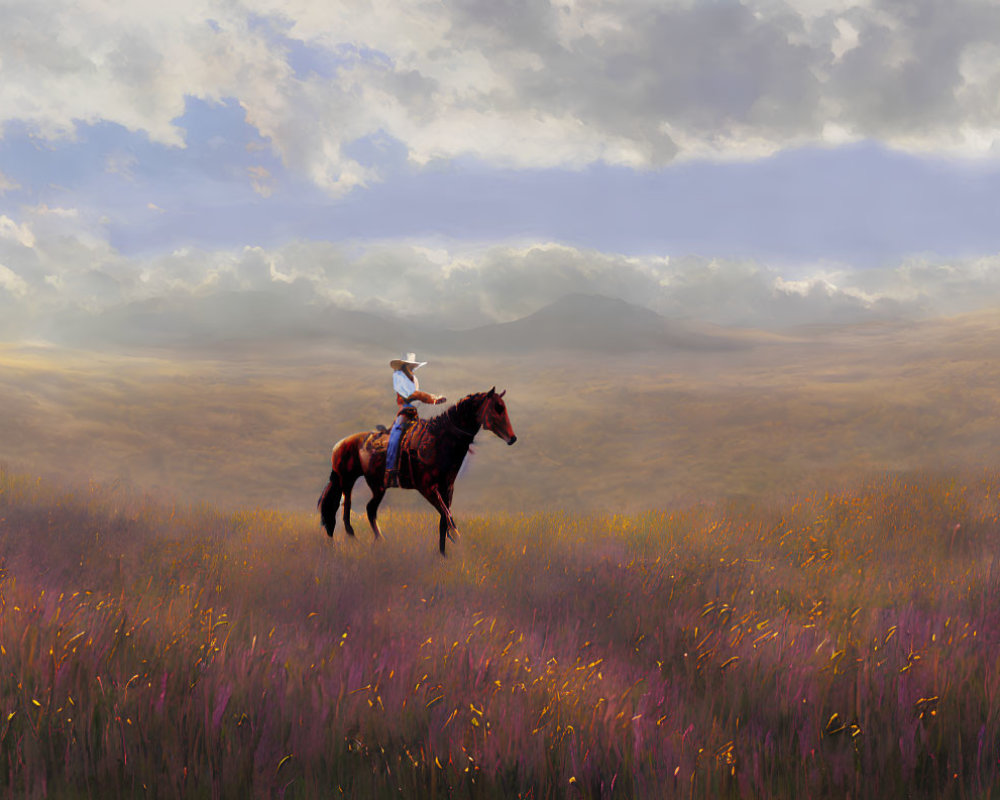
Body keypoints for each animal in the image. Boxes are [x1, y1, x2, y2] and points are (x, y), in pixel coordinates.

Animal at [316, 390, 516, 552]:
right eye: (498, 408)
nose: (512, 438)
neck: (439, 440)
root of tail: (339, 445)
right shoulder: (427, 488)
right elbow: (447, 517)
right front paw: (457, 541)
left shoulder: (447, 488)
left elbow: (444, 519)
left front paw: (443, 554)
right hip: (347, 480)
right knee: (346, 508)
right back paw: (354, 540)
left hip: (377, 486)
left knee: (368, 509)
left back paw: (379, 541)